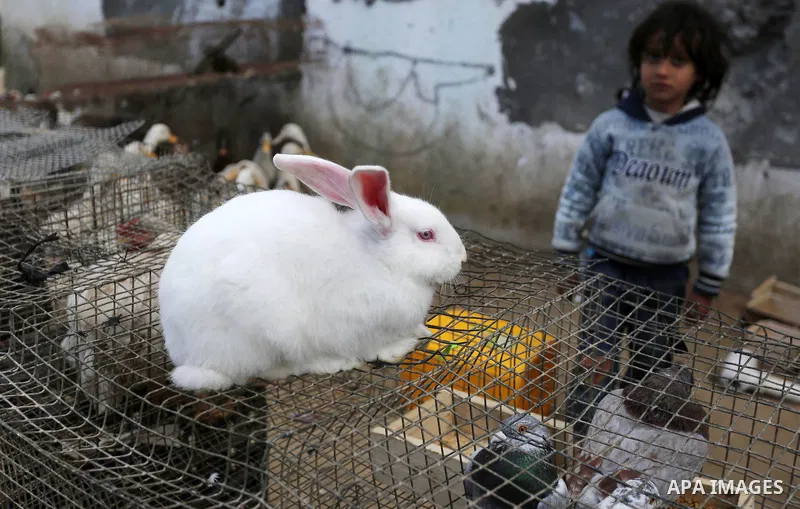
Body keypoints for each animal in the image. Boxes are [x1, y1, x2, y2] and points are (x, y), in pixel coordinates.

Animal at [158, 154, 468, 392]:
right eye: (426, 235)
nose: (463, 257)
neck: (381, 260)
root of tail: (190, 358)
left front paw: (422, 329)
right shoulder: (356, 325)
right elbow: (372, 347)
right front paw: (399, 347)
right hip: (268, 329)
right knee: (274, 369)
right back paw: (333, 363)